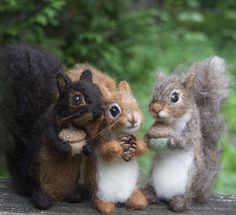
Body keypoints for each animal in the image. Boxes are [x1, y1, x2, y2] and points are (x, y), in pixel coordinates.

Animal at [0, 44, 103, 210]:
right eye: (77, 98)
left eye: (98, 91)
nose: (100, 111)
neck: (72, 123)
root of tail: (57, 197)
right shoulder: (47, 124)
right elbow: (53, 137)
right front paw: (64, 148)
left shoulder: (86, 130)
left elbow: (90, 138)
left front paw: (88, 148)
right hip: (36, 174)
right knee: (37, 192)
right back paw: (42, 200)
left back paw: (74, 196)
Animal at [146, 56, 230, 212]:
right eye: (153, 95)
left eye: (174, 97)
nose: (155, 108)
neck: (172, 121)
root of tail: (166, 196)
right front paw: (147, 140)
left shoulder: (193, 128)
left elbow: (187, 140)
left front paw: (172, 141)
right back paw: (149, 194)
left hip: (191, 179)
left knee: (188, 196)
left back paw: (180, 202)